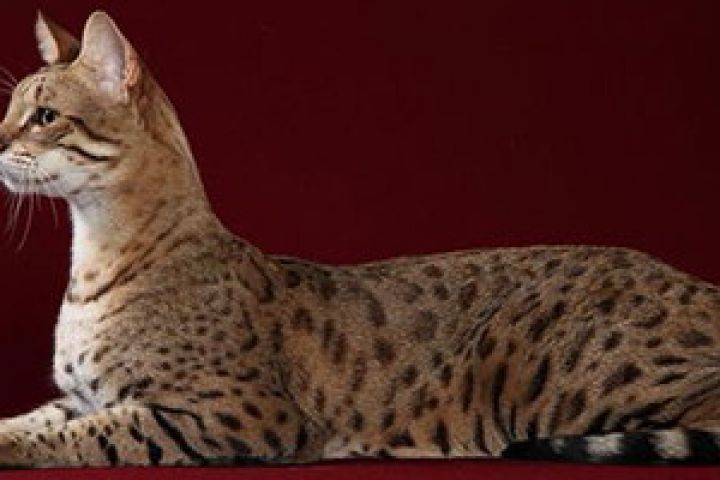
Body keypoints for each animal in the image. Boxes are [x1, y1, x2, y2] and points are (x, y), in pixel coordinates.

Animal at [0, 10, 719, 467]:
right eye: (9, 112)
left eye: (44, 116)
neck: (93, 267)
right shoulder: (77, 397)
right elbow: (39, 415)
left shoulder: (235, 412)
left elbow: (96, 433)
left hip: (558, 379)